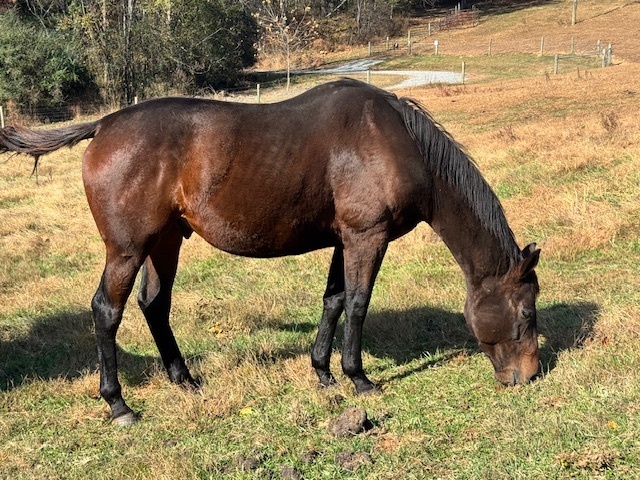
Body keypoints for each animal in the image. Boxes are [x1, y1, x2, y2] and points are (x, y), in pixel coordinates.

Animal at [0, 79, 541, 426]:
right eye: (527, 313)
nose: (529, 377)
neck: (396, 141)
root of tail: (104, 125)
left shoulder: (344, 240)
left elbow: (334, 301)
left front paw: (323, 373)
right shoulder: (366, 237)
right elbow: (358, 303)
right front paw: (358, 378)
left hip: (165, 242)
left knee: (154, 305)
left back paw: (185, 380)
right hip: (127, 249)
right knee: (106, 311)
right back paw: (119, 405)